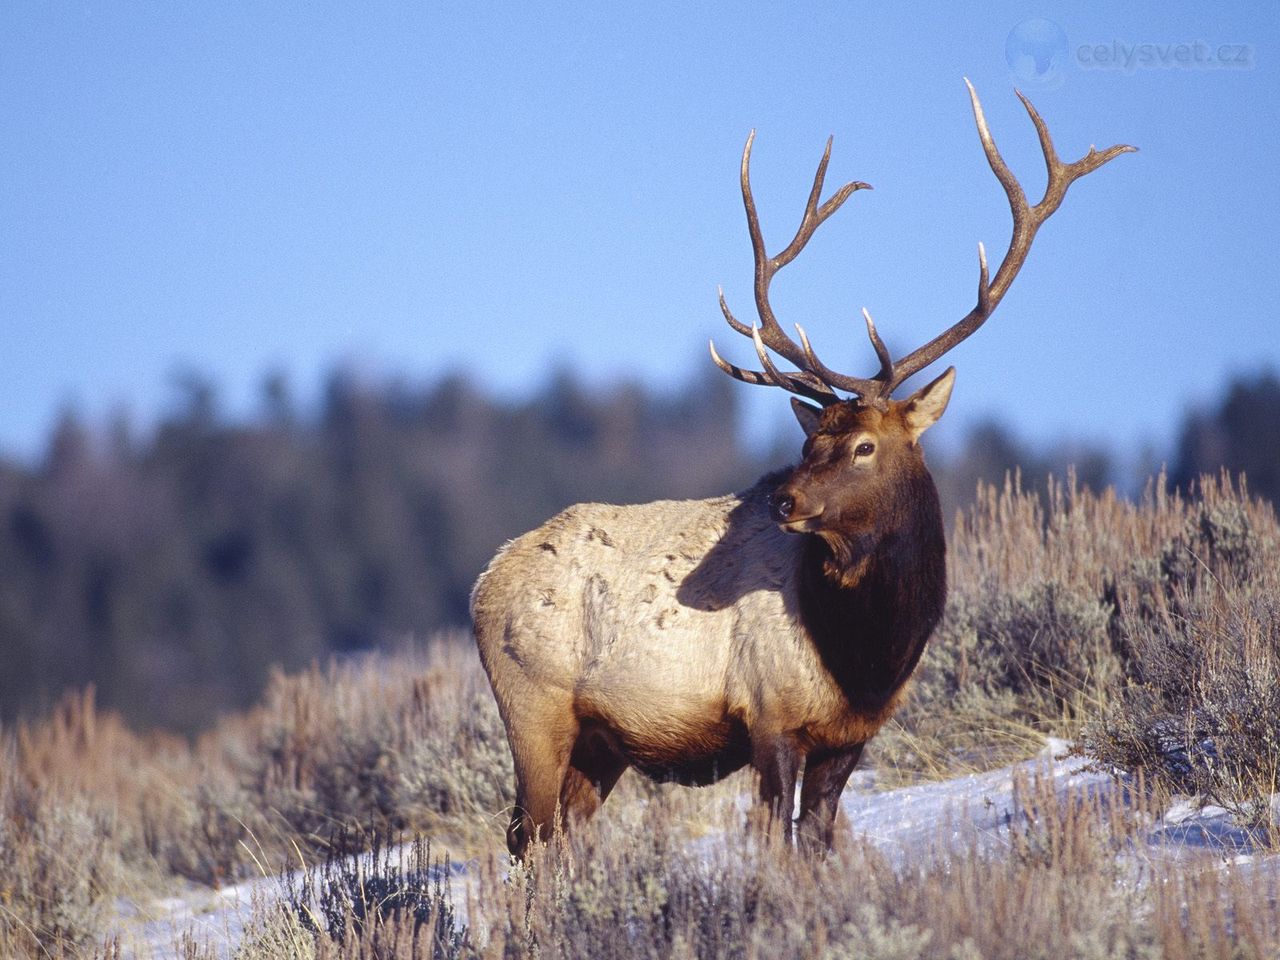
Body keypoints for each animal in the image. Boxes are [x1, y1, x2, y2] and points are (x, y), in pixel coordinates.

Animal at [471, 81, 1133, 857]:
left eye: (864, 445)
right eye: (813, 436)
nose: (782, 501)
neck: (867, 655)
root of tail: (482, 584)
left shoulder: (851, 736)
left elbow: (816, 841)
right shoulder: (770, 714)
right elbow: (772, 844)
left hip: (600, 743)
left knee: (556, 839)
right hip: (535, 708)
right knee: (530, 839)